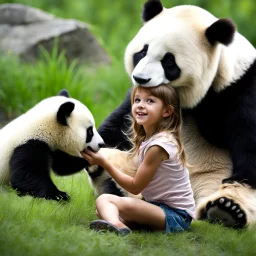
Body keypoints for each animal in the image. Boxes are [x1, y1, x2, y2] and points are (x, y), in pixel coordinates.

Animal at [88, 0, 256, 228]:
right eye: (142, 52)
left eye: (168, 61)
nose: (140, 78)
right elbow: (119, 126)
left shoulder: (240, 87)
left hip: (211, 178)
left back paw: (226, 210)